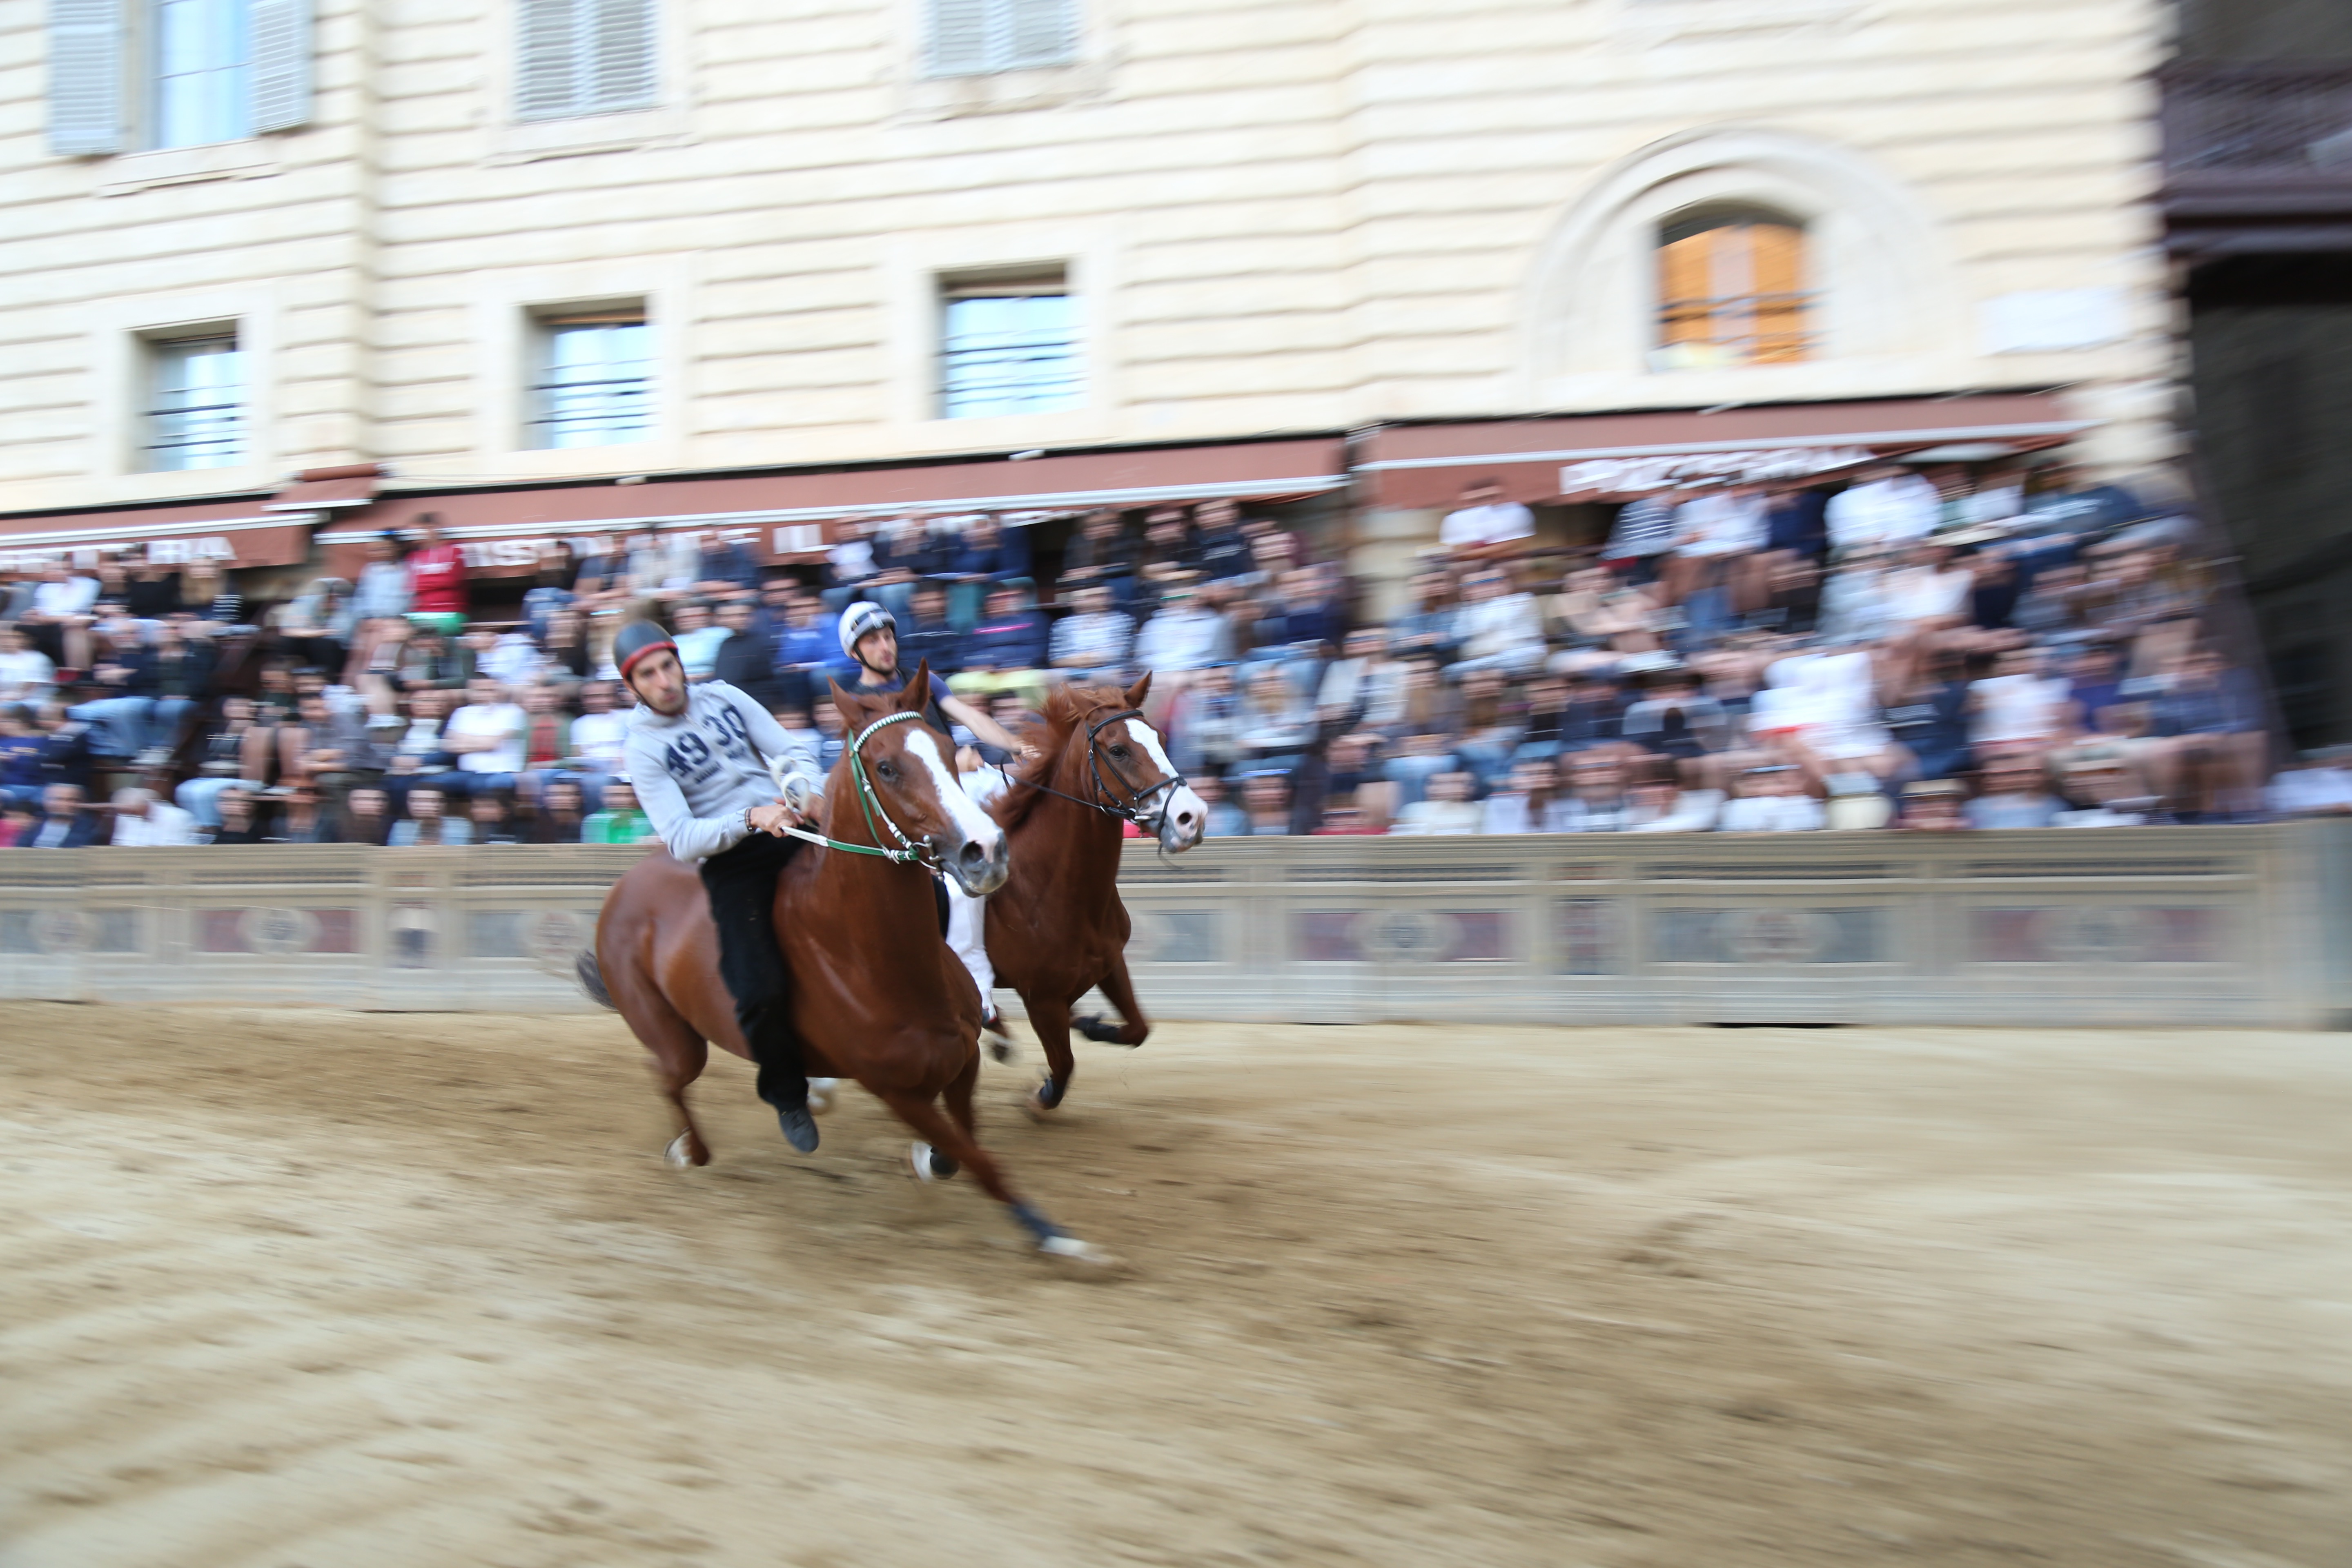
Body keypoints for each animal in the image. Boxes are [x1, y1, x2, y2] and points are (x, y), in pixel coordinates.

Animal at [584, 662, 1104, 1261]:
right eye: (886, 767)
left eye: (950, 751)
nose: (987, 852)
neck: (867, 960)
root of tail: (626, 887)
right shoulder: (898, 1092)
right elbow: (981, 1163)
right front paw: (1058, 1238)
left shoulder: (961, 1059)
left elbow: (961, 1145)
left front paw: (929, 1160)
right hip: (676, 1040)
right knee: (666, 1077)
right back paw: (694, 1150)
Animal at [984, 675, 1207, 1115]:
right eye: (1118, 750)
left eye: (1160, 737)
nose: (1192, 818)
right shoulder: (1041, 998)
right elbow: (1064, 1064)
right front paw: (1040, 1096)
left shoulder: (1109, 963)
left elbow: (1138, 1029)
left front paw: (1092, 1024)